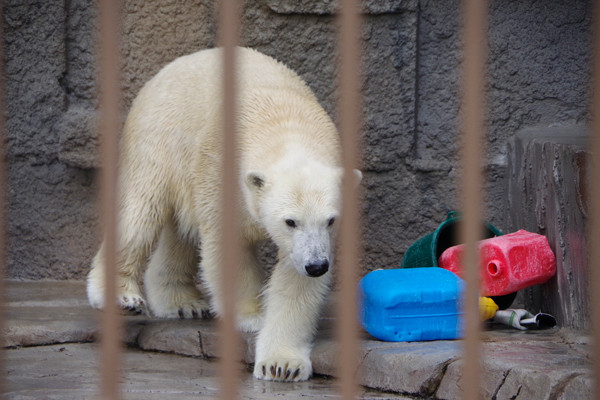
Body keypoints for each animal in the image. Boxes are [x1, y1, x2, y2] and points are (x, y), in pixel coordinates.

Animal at [88, 47, 360, 382]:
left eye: (331, 220)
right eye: (290, 221)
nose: (317, 266)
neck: (281, 122)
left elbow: (294, 282)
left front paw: (282, 365)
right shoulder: (218, 172)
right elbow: (228, 246)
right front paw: (253, 316)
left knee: (179, 232)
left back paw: (183, 303)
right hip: (159, 138)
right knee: (141, 211)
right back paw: (122, 297)